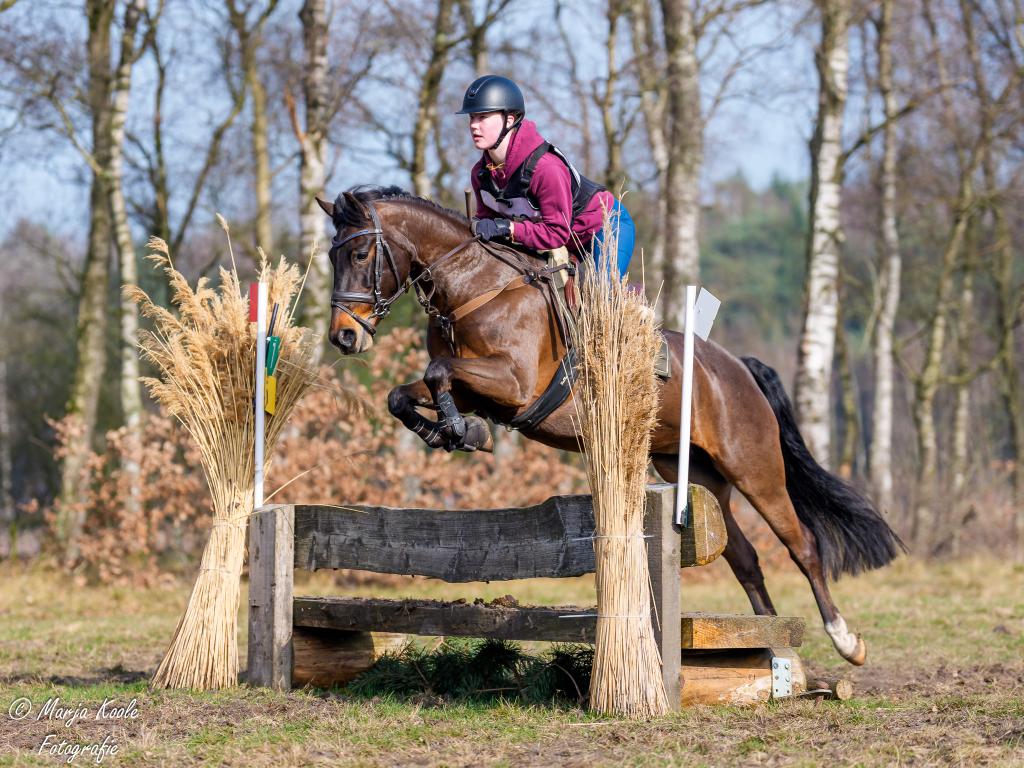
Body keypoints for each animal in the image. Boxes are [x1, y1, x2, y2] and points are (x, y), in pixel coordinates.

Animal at [316, 185, 904, 666]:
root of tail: (738, 366)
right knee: (745, 557)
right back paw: (772, 649)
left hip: (753, 466)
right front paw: (451, 431)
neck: (476, 288)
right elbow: (405, 392)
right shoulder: (478, 386)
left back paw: (846, 642)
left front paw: (462, 431)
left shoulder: (514, 382)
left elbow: (438, 372)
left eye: (361, 253)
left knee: (801, 544)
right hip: (697, 474)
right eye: (331, 255)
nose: (344, 337)